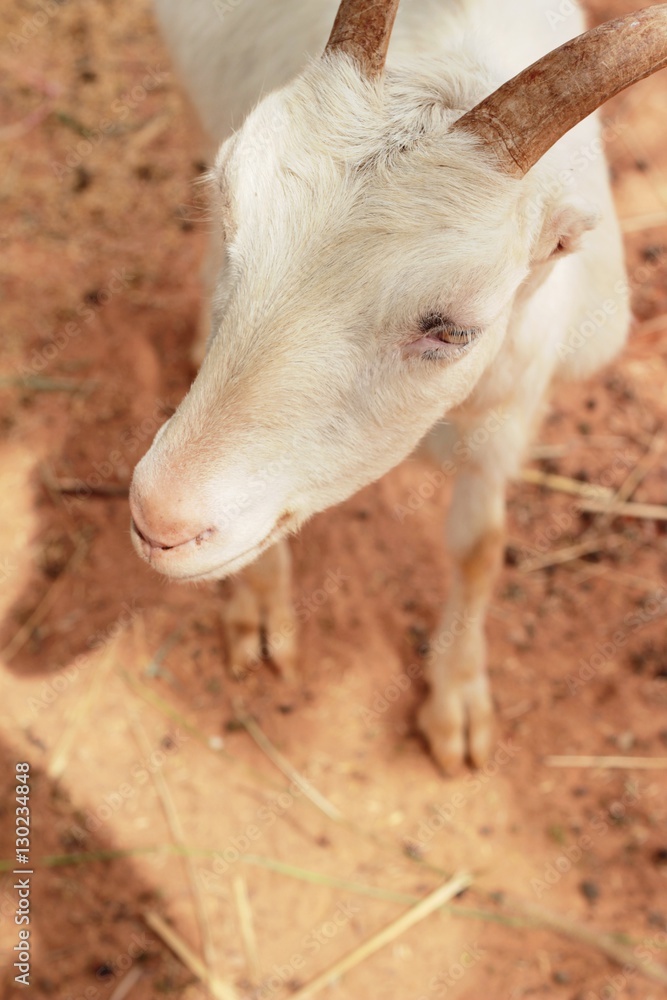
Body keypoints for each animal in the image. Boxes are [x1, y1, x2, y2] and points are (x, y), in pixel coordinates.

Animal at [130, 0, 667, 773]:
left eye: (454, 328)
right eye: (228, 203)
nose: (161, 519)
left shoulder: (513, 402)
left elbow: (479, 546)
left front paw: (457, 707)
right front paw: (260, 610)